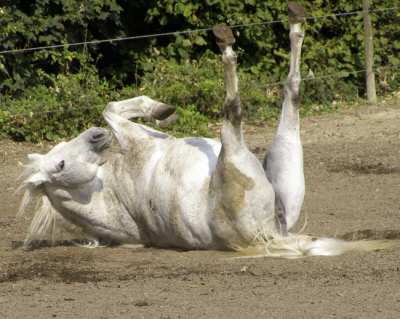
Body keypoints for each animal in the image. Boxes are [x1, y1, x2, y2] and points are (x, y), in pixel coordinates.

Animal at [18, 3, 394, 258]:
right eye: (60, 165)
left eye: (63, 148)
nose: (97, 136)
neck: (111, 189)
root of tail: (269, 236)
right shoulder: (131, 137)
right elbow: (111, 110)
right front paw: (160, 111)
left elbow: (113, 107)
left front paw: (162, 113)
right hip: (238, 150)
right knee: (242, 105)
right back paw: (228, 43)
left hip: (285, 162)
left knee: (293, 89)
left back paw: (295, 20)